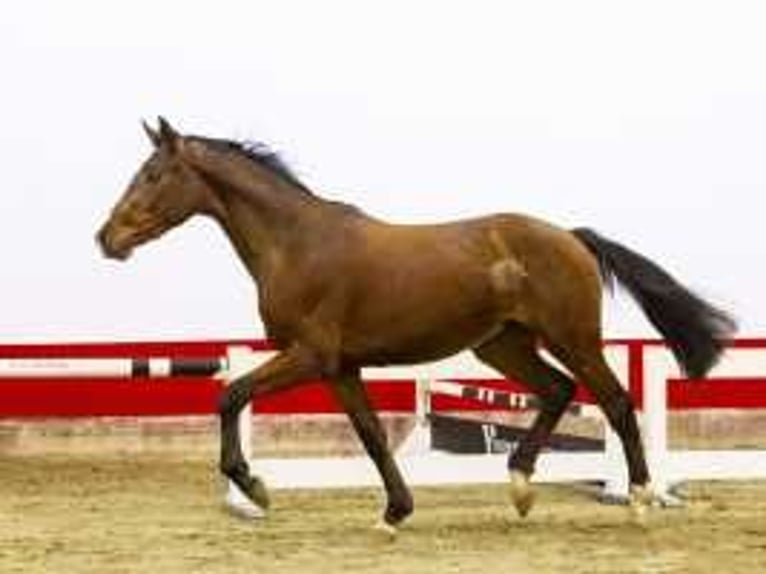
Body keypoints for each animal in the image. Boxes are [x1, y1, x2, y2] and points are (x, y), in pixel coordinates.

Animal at [96, 118, 736, 536]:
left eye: (153, 173)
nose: (107, 238)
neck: (297, 245)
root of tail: (571, 237)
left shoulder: (310, 355)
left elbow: (230, 395)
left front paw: (254, 487)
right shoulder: (342, 367)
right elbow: (372, 434)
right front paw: (394, 512)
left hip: (572, 339)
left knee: (616, 401)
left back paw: (638, 500)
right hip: (502, 346)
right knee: (559, 391)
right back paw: (521, 487)